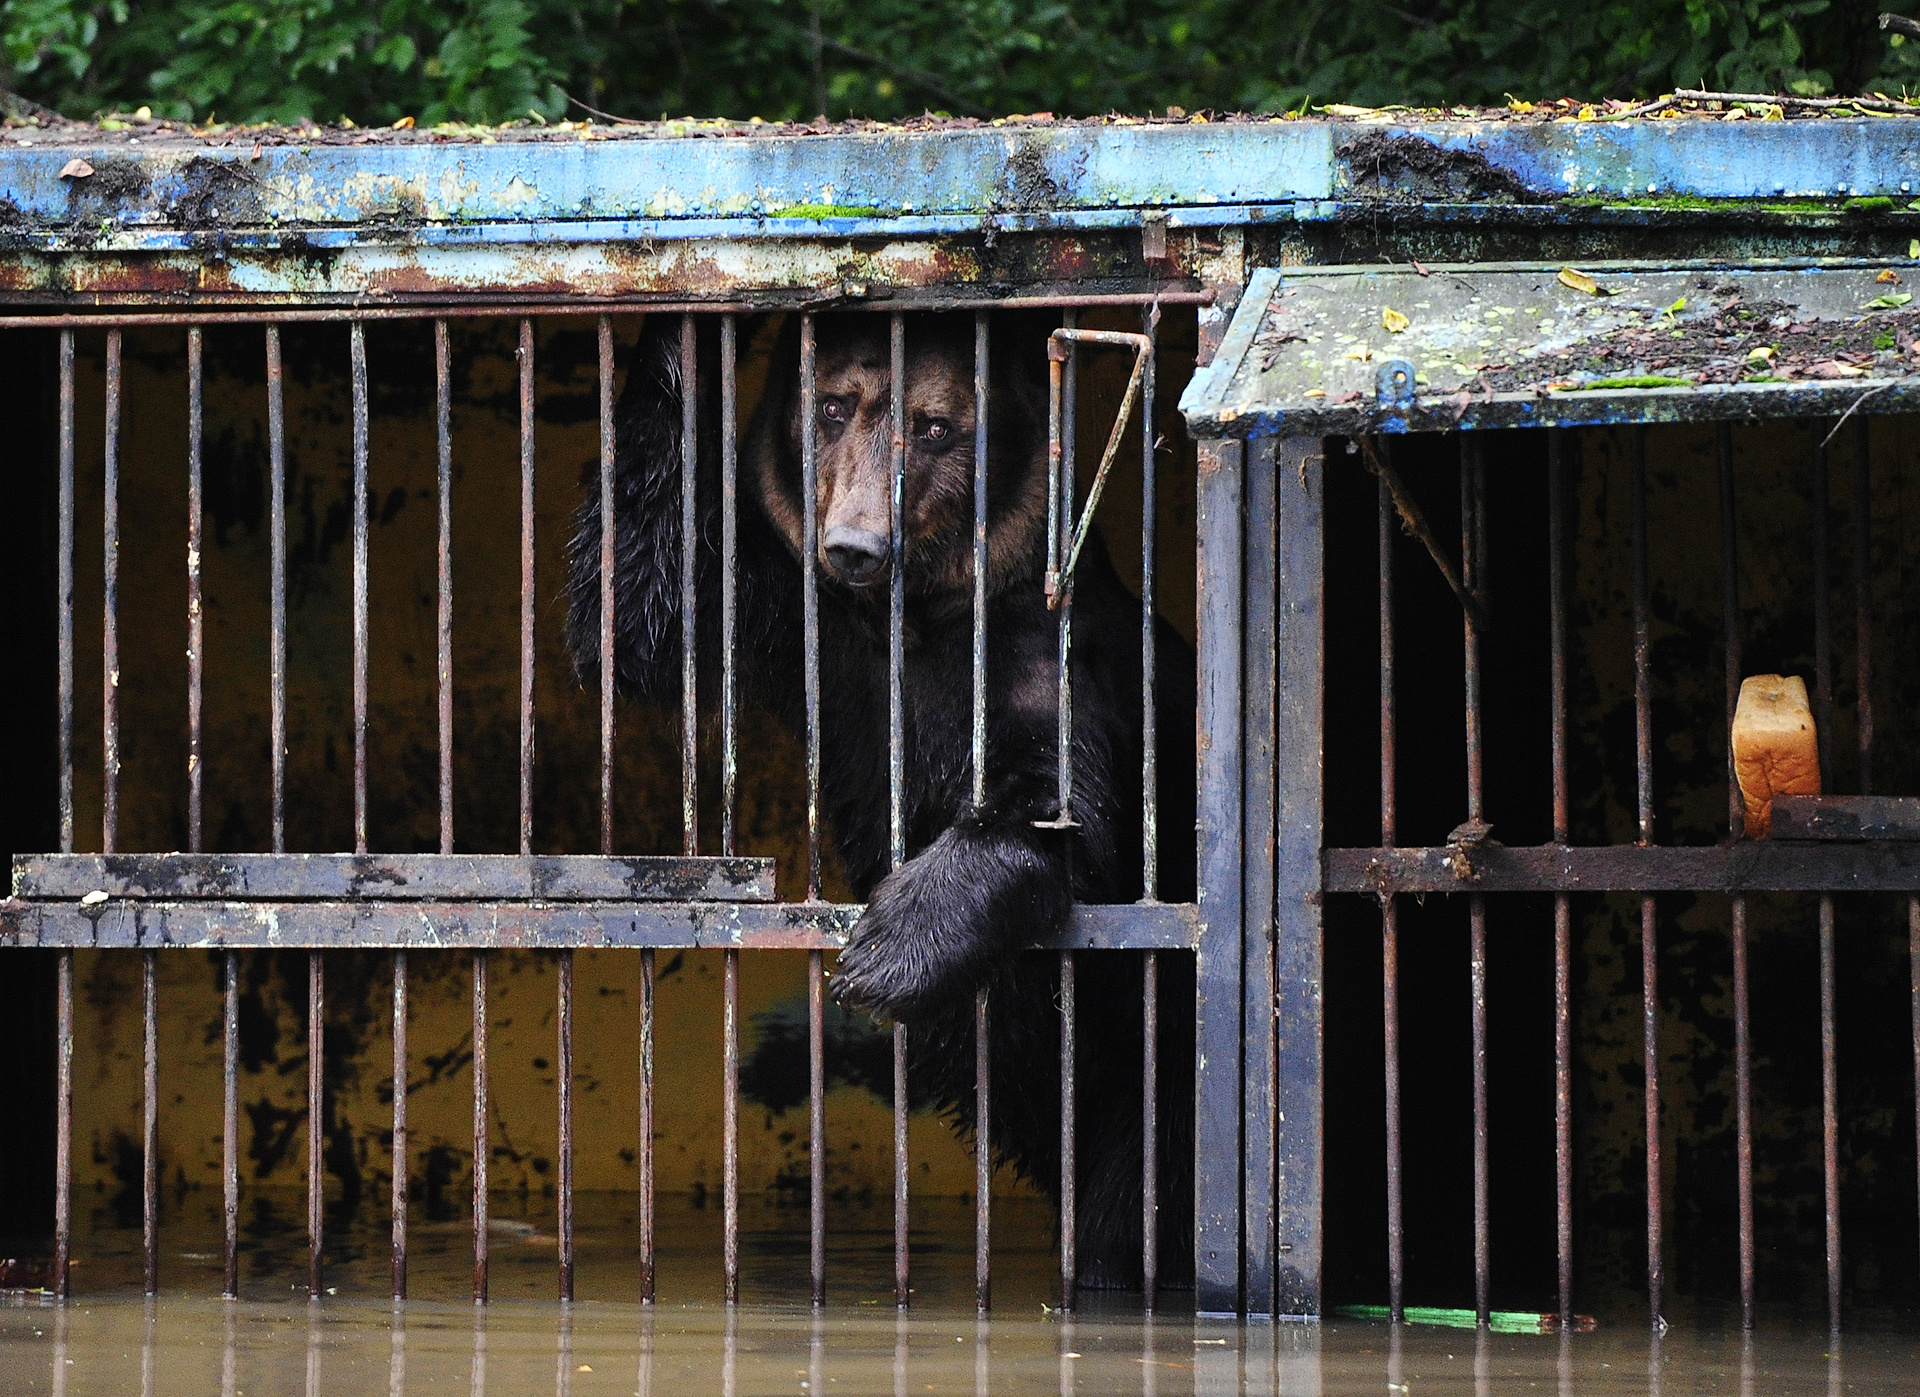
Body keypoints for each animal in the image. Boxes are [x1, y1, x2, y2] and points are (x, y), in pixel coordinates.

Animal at [568, 314, 1190, 1289]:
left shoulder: (1041, 651)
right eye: (832, 406)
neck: (914, 616)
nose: (857, 543)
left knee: (1134, 1198)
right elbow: (641, 609)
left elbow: (1056, 807)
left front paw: (882, 954)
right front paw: (686, 335)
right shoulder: (796, 610)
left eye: (935, 427)